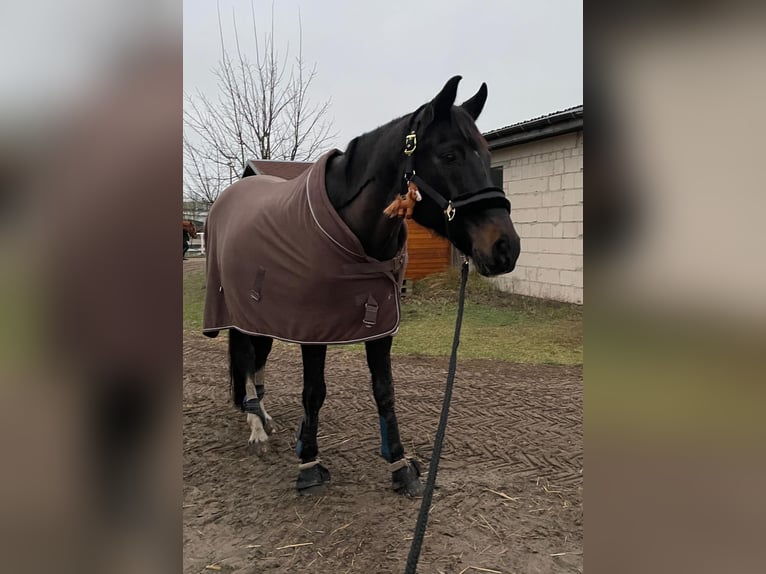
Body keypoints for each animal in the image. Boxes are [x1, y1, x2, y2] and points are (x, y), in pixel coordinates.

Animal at [201, 77, 520, 500]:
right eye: (449, 155)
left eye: (486, 155)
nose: (506, 248)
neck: (354, 238)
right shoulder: (313, 331)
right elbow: (313, 392)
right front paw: (309, 465)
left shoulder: (380, 327)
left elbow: (384, 390)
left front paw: (401, 467)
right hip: (239, 315)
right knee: (245, 359)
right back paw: (257, 430)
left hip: (264, 317)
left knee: (257, 363)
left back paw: (264, 418)